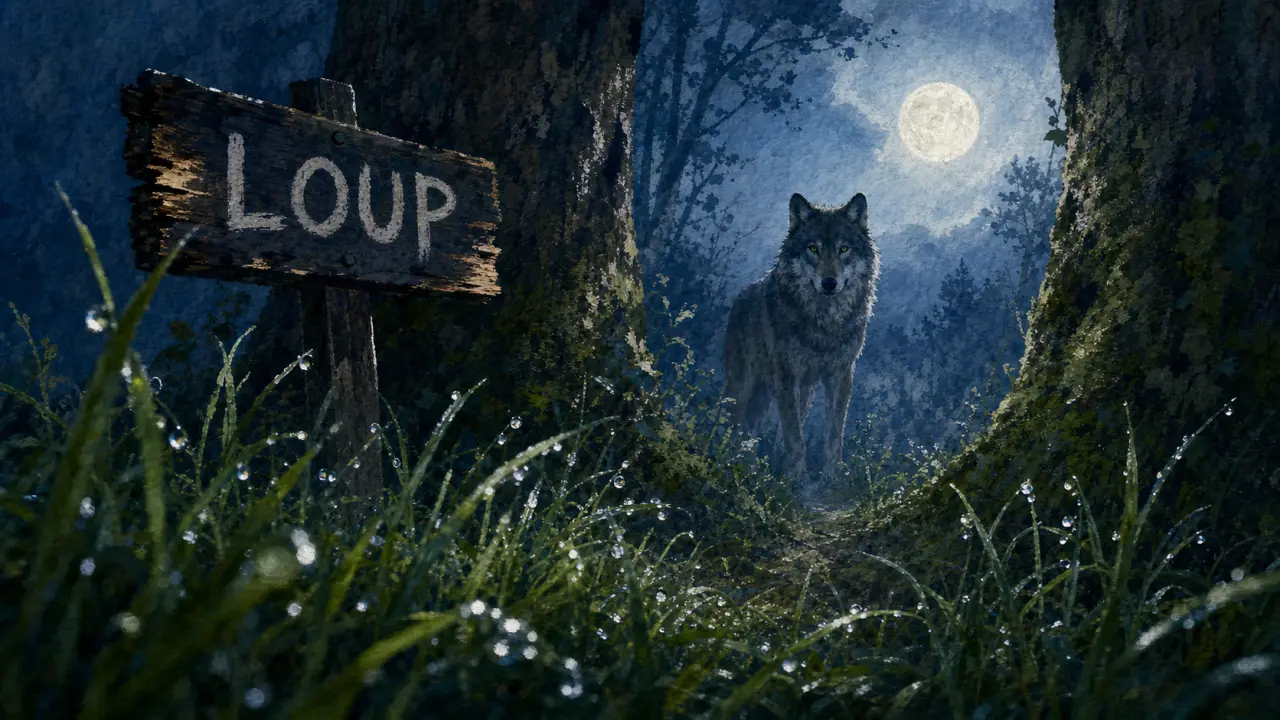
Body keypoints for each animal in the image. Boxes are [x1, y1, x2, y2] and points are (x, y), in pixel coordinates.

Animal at [722, 192, 879, 479]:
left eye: (843, 249)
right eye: (813, 249)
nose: (829, 283)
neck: (824, 324)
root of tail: (739, 298)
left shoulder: (841, 374)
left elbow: (833, 433)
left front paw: (832, 476)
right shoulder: (786, 375)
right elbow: (794, 436)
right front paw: (795, 477)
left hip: (802, 391)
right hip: (743, 386)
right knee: (735, 425)